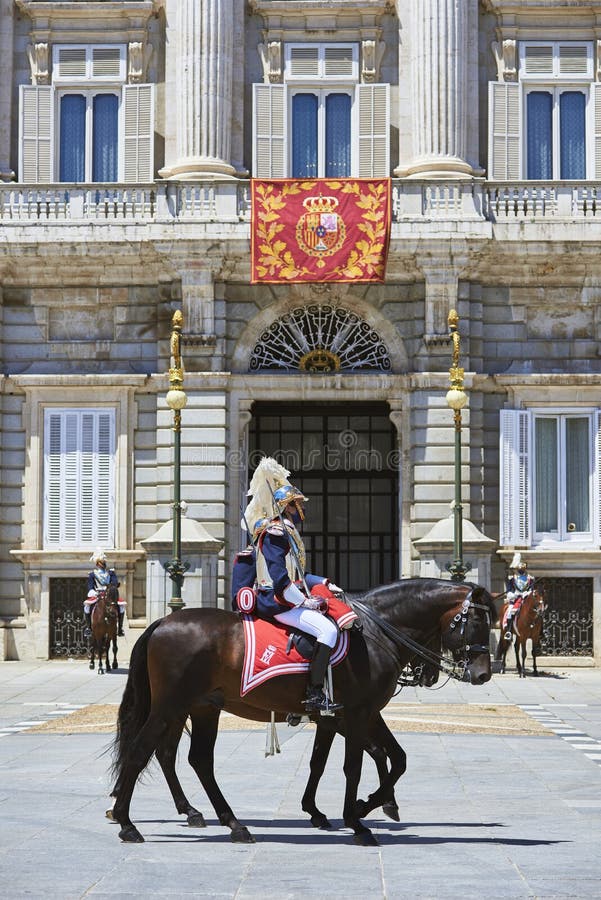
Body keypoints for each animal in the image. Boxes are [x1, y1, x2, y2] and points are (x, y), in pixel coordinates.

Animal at [110, 580, 494, 848]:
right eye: (476, 621)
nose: (483, 674)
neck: (374, 632)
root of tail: (163, 620)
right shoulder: (357, 714)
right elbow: (356, 765)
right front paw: (358, 818)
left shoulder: (352, 714)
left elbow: (382, 759)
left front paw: (356, 807)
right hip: (170, 707)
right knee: (142, 751)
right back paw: (127, 824)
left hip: (203, 708)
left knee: (196, 759)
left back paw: (231, 823)